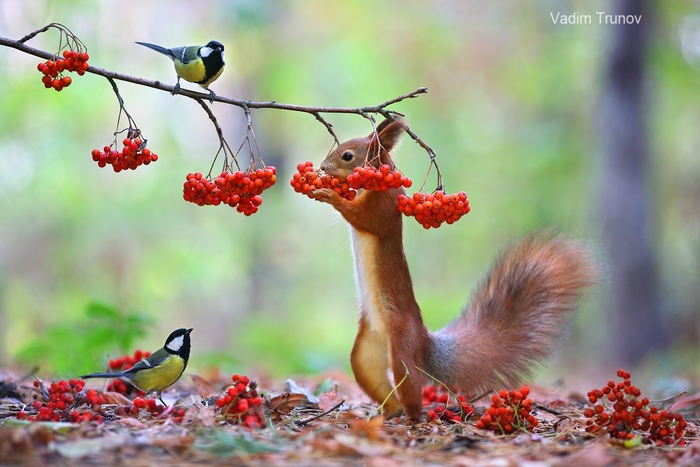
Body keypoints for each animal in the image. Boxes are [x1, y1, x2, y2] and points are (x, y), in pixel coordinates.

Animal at [314, 119, 596, 422]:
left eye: (347, 156)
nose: (323, 167)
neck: (374, 182)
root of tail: (424, 342)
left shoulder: (384, 206)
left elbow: (364, 218)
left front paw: (329, 194)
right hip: (365, 354)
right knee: (376, 378)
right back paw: (386, 413)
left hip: (402, 348)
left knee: (409, 386)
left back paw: (413, 418)